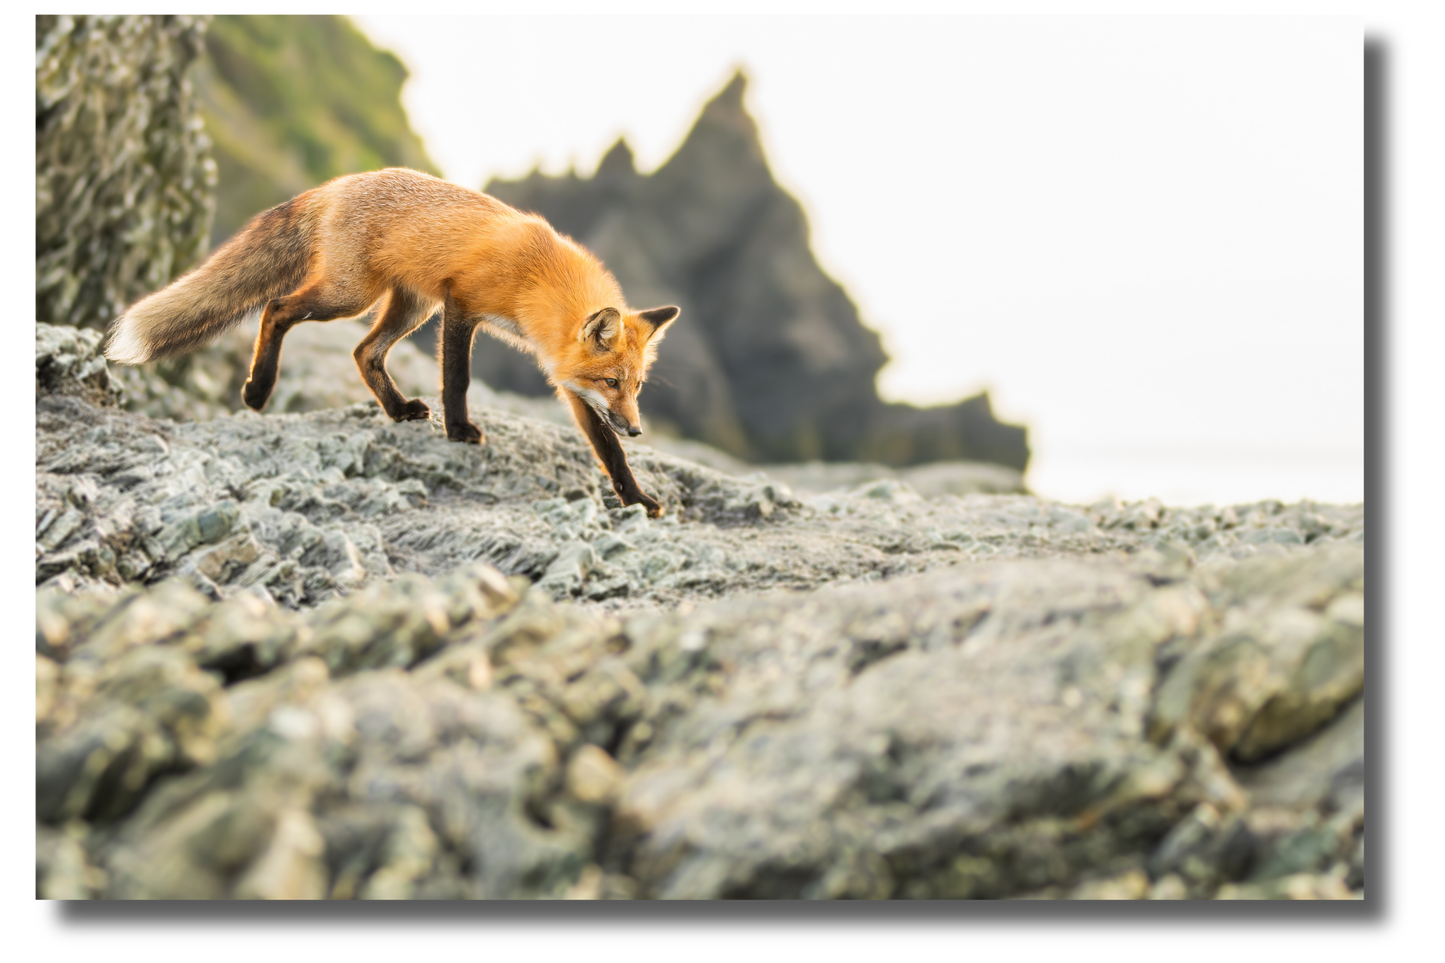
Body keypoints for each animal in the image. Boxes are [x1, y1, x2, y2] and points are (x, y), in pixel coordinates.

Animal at [105, 167, 679, 517]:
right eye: (612, 381)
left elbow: (607, 452)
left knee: (364, 353)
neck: (537, 277)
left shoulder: (567, 381)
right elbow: (458, 379)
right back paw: (258, 389)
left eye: (636, 387)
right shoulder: (461, 304)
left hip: (409, 306)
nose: (637, 428)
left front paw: (637, 498)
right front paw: (459, 430)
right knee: (276, 309)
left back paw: (398, 410)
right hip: (350, 297)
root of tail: (337, 184)